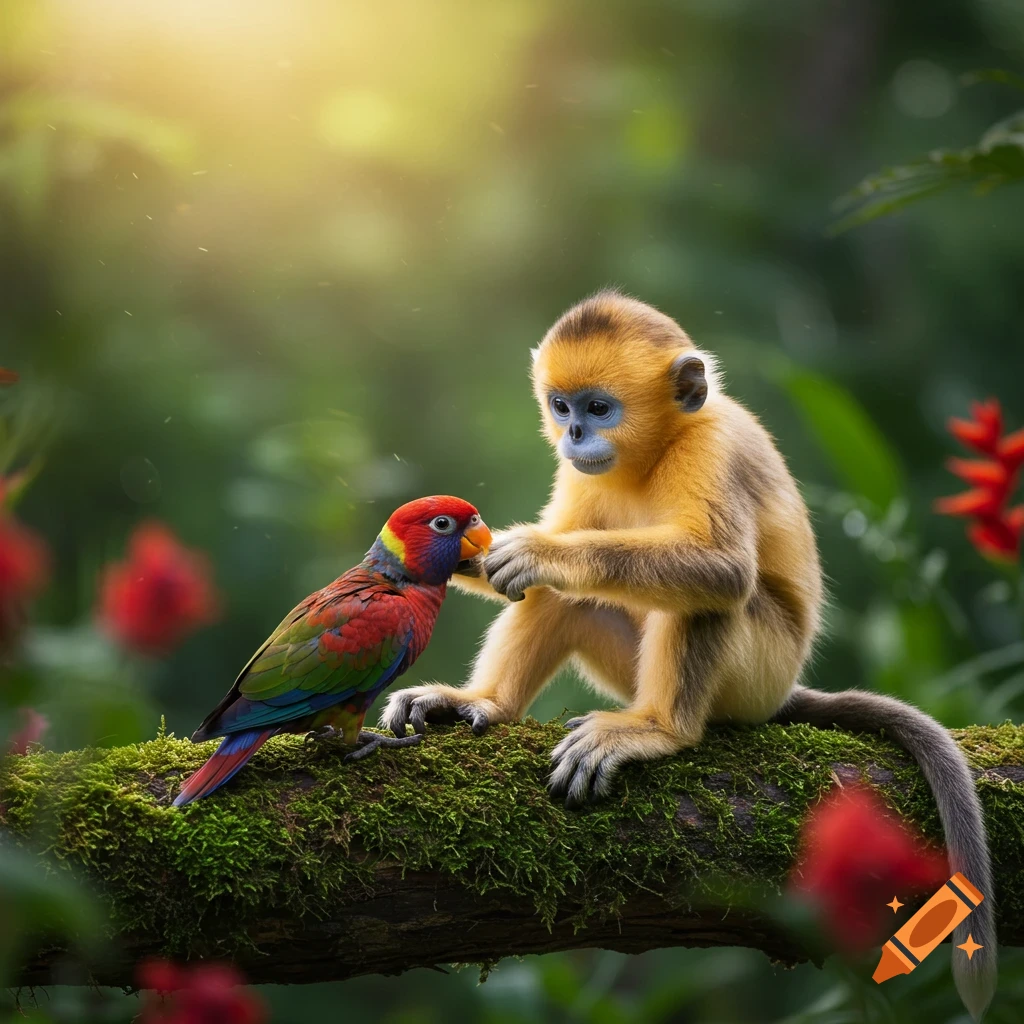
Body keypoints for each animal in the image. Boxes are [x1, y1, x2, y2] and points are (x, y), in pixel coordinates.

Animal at [381, 290, 996, 1019]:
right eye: (561, 407)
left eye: (598, 408)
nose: (574, 436)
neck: (655, 451)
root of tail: (784, 689)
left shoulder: (712, 446)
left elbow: (721, 570)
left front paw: (538, 551)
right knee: (571, 599)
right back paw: (484, 705)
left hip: (758, 673)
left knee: (710, 596)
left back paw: (656, 731)